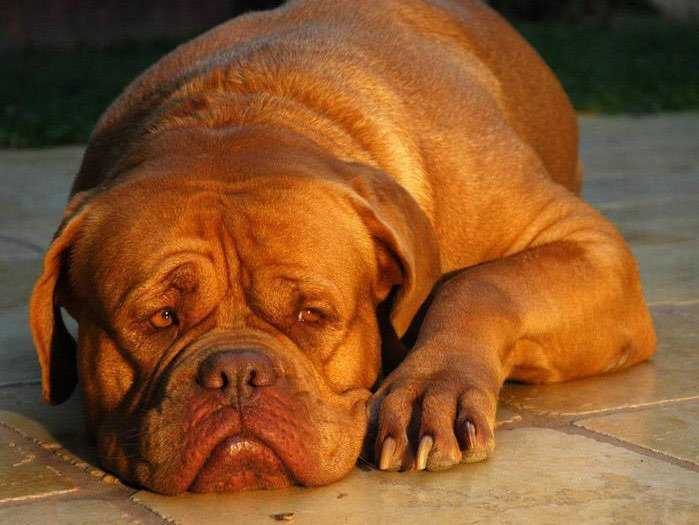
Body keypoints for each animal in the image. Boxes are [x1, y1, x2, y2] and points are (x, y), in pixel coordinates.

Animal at [30, 0, 656, 495]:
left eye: (313, 315)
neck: (239, 111)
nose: (237, 374)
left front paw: (433, 388)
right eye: (160, 318)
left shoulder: (588, 245)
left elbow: (480, 282)